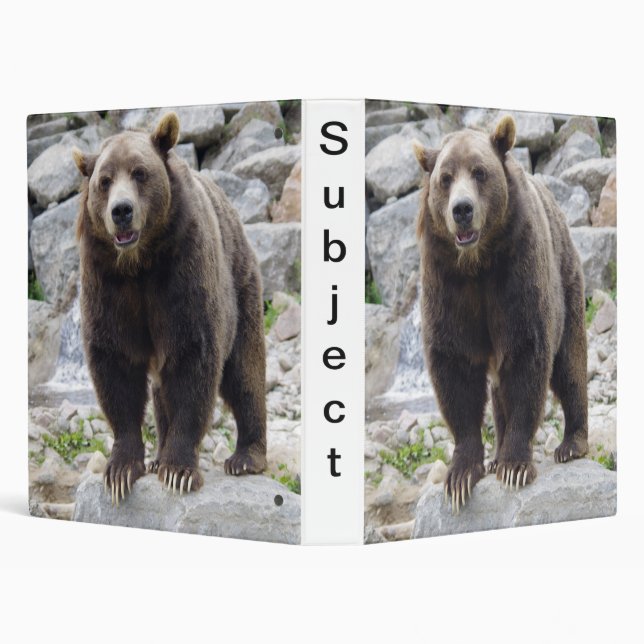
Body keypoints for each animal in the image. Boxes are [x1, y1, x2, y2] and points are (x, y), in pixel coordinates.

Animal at [72, 112, 267, 505]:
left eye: (140, 172)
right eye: (104, 181)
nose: (122, 211)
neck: (139, 263)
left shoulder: (181, 269)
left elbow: (192, 358)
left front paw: (178, 469)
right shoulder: (106, 281)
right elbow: (115, 364)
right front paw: (122, 469)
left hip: (240, 285)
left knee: (244, 370)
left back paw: (246, 456)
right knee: (162, 388)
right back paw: (157, 455)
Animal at [413, 115, 588, 513]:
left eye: (480, 172)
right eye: (445, 178)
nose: (462, 210)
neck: (477, 263)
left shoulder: (516, 271)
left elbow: (527, 355)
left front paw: (515, 465)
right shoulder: (446, 283)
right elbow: (455, 367)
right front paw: (462, 475)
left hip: (567, 281)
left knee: (569, 365)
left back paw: (572, 443)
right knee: (498, 393)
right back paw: (495, 454)